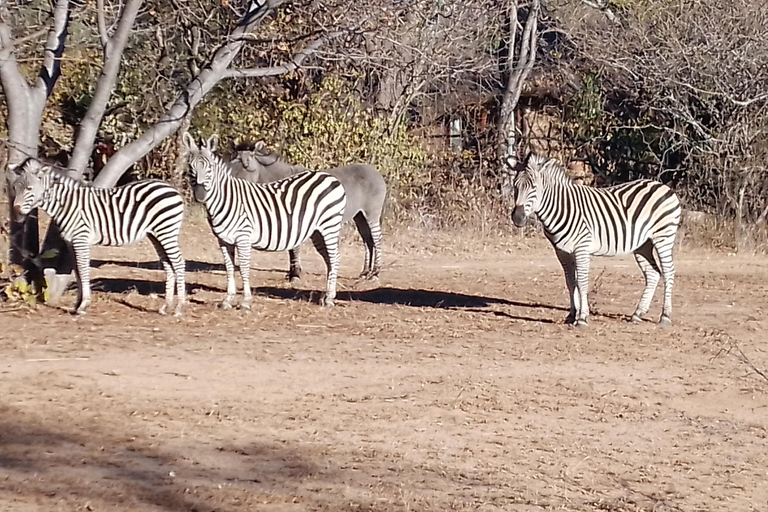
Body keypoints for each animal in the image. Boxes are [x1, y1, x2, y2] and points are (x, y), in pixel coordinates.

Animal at [12, 158, 188, 316]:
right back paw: (166, 307)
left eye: (29, 188)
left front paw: (83, 305)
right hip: (155, 234)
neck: (67, 205)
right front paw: (77, 305)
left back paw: (179, 308)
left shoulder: (81, 239)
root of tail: (170, 188)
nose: (16, 210)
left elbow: (83, 269)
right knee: (168, 264)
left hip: (166, 230)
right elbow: (77, 270)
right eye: (15, 188)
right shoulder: (71, 242)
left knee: (179, 262)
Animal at [183, 133, 344, 308]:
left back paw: (329, 298)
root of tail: (328, 176)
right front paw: (228, 300)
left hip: (330, 226)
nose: (200, 195)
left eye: (210, 167)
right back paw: (326, 297)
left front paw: (245, 301)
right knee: (329, 260)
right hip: (317, 232)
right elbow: (229, 268)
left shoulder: (243, 236)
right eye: (190, 167)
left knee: (335, 258)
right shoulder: (223, 240)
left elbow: (244, 267)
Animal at [228, 140, 384, 282]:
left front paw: (295, 274)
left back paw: (375, 274)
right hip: (359, 215)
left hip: (371, 213)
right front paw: (292, 272)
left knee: (377, 239)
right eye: (233, 161)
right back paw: (365, 272)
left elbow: (294, 247)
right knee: (368, 240)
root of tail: (375, 171)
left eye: (246, 165)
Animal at [510, 153, 684, 328]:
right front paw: (572, 315)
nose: (517, 218)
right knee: (653, 273)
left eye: (534, 187)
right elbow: (570, 282)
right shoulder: (561, 251)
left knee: (668, 271)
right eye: (515, 186)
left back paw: (665, 316)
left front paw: (582, 318)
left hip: (663, 236)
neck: (562, 207)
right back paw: (637, 314)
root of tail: (662, 186)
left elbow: (582, 282)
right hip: (643, 244)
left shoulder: (582, 247)